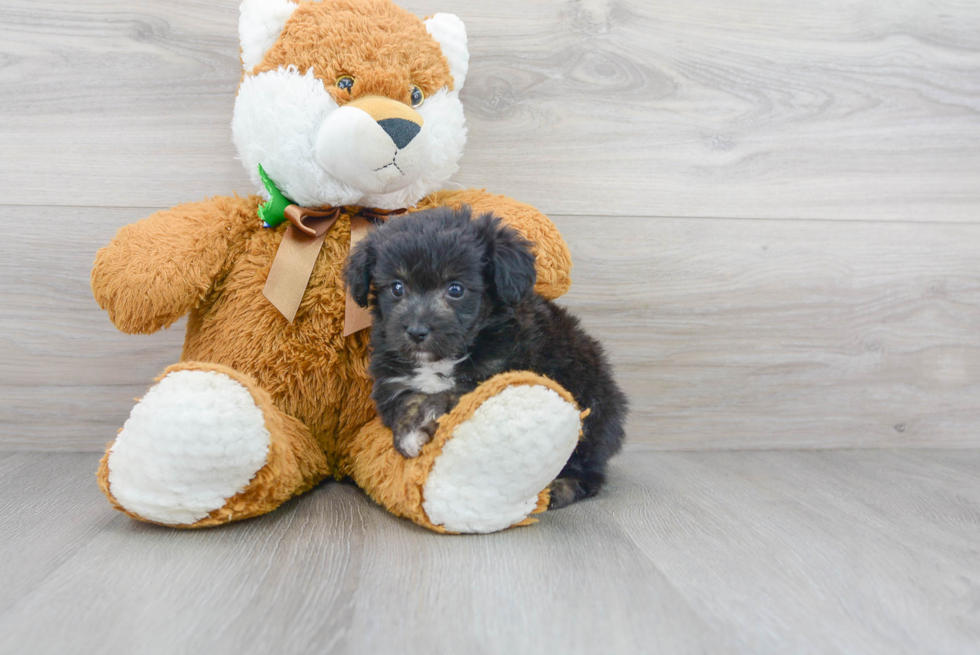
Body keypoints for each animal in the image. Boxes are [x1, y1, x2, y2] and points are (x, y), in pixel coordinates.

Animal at [344, 208, 628, 510]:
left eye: (456, 289)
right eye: (397, 288)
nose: (416, 331)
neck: (443, 357)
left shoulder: (506, 369)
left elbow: (461, 390)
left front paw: (430, 413)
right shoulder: (391, 382)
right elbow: (406, 400)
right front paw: (408, 433)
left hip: (594, 414)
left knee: (590, 470)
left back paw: (561, 488)